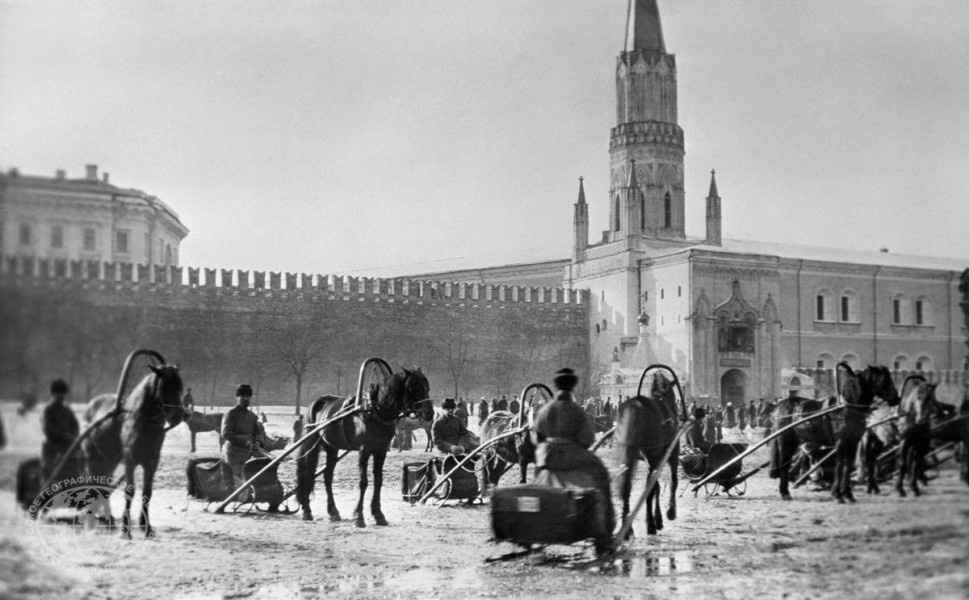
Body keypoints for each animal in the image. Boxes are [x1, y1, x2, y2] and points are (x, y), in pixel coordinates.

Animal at [82, 366, 184, 540]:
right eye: (165, 386)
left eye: (179, 386)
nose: (178, 416)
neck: (143, 423)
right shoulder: (130, 461)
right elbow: (130, 491)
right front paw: (126, 531)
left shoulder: (152, 463)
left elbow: (147, 493)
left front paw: (146, 528)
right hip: (92, 458)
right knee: (93, 484)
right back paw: (93, 520)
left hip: (108, 461)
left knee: (103, 486)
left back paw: (108, 520)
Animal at [294, 368, 432, 528]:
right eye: (411, 387)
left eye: (426, 386)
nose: (429, 412)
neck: (375, 411)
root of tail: (316, 402)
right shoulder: (364, 451)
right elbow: (363, 482)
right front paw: (359, 516)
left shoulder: (381, 451)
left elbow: (378, 481)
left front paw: (378, 515)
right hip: (311, 443)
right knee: (308, 473)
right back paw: (307, 510)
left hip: (331, 447)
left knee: (327, 476)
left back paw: (333, 512)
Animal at [612, 368, 688, 536]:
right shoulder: (671, 455)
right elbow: (672, 481)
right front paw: (668, 513)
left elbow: (656, 486)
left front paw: (656, 519)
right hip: (654, 456)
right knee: (649, 486)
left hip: (629, 454)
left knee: (627, 485)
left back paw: (628, 529)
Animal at [772, 364, 900, 504]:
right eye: (883, 380)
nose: (896, 399)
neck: (847, 408)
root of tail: (781, 404)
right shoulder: (840, 442)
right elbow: (839, 466)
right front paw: (837, 495)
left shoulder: (853, 442)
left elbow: (848, 467)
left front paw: (848, 494)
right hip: (786, 440)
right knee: (784, 464)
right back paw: (785, 492)